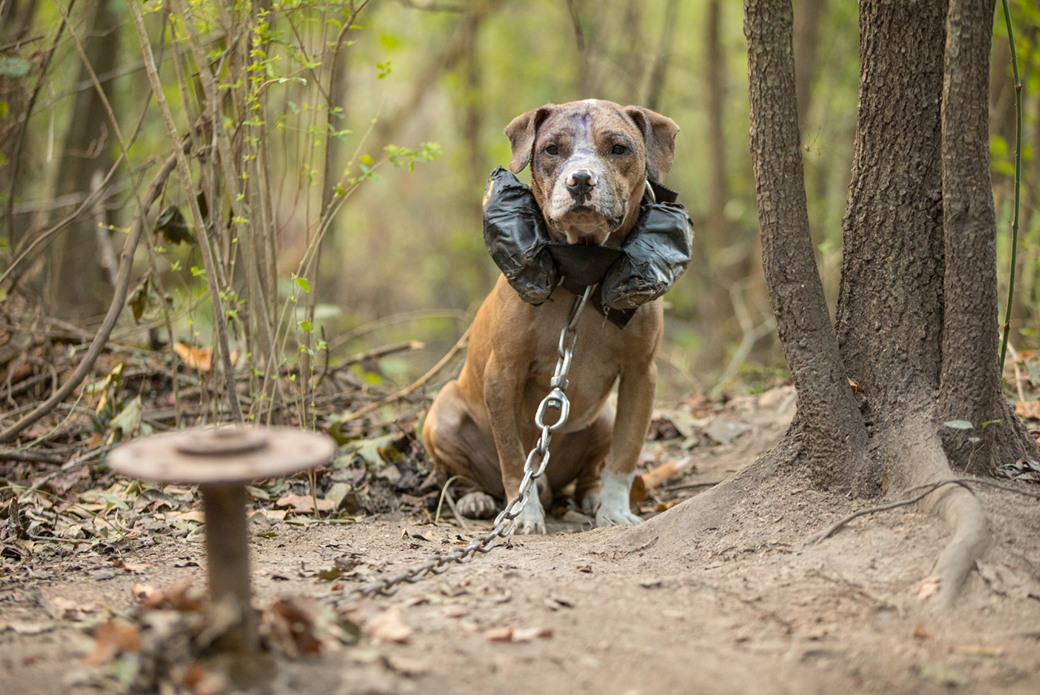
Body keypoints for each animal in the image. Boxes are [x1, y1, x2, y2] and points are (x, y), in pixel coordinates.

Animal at [418, 98, 678, 532]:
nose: (581, 180)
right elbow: (511, 455)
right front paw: (523, 516)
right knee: (466, 474)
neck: (584, 270)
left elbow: (625, 454)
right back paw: (476, 499)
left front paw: (615, 510)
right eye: (552, 149)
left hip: (601, 418)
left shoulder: (642, 374)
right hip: (444, 415)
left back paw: (588, 495)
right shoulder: (502, 373)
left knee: (590, 470)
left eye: (618, 148)